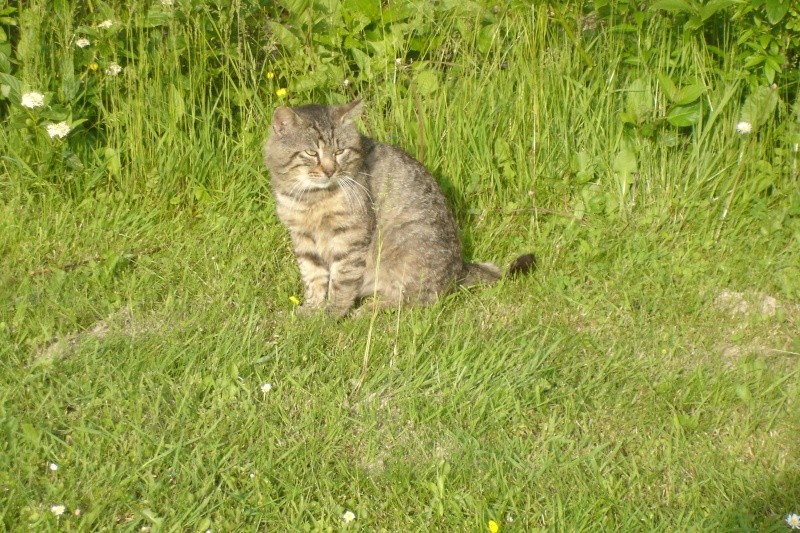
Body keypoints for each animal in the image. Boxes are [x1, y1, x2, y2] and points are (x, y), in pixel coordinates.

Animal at [262, 100, 536, 316]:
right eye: (311, 152)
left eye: (340, 151)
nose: (330, 170)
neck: (310, 199)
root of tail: (459, 268)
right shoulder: (302, 237)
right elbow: (313, 277)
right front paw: (311, 310)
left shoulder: (350, 235)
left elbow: (341, 281)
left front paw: (331, 316)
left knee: (416, 301)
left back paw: (368, 311)